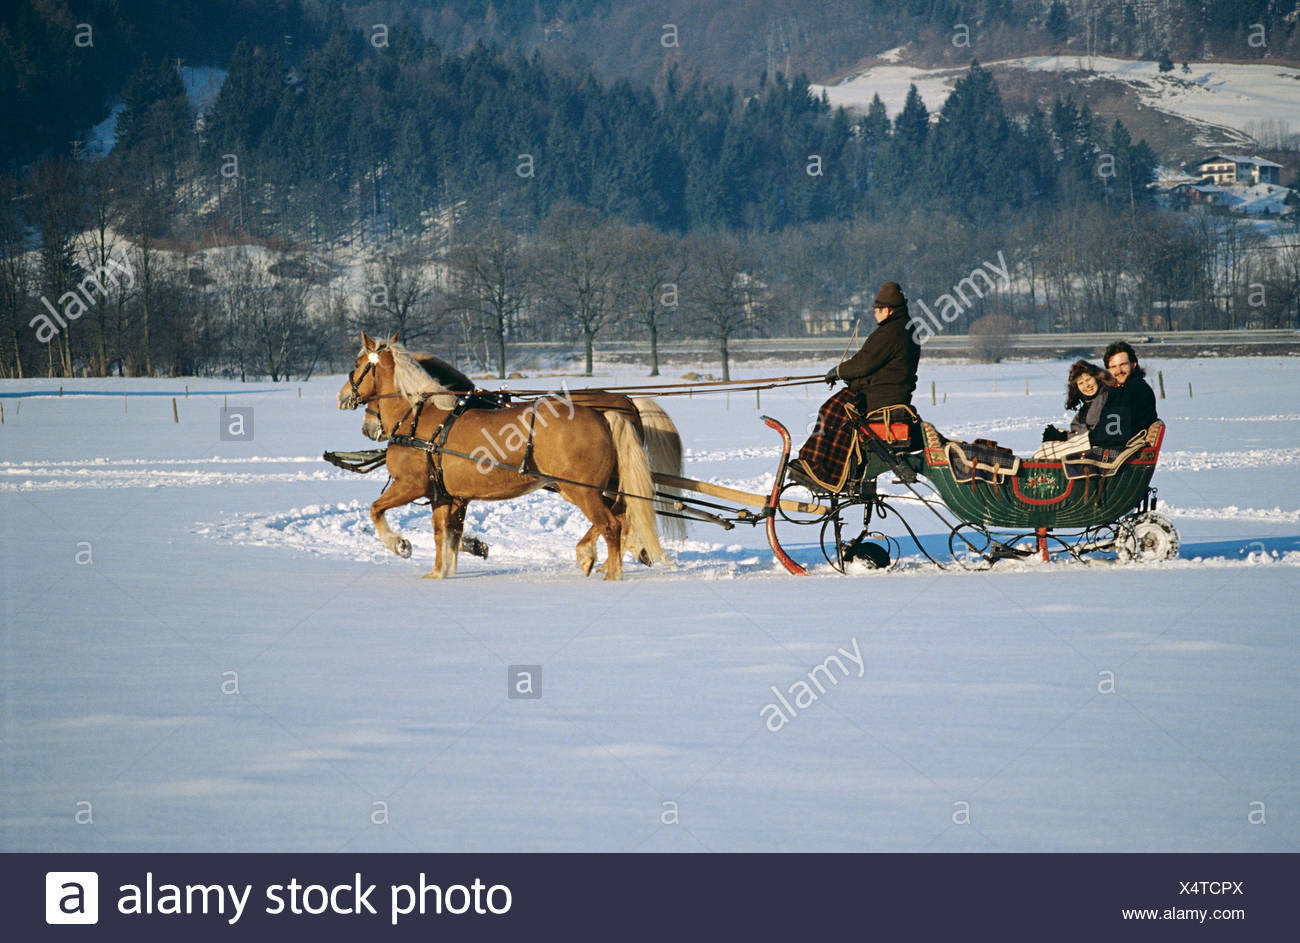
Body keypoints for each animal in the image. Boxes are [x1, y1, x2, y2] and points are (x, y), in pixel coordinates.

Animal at [337, 333, 684, 579]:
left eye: (356, 363)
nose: (343, 398)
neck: (419, 417)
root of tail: (607, 412)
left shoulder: (411, 485)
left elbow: (376, 509)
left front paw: (400, 544)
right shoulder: (445, 494)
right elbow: (444, 534)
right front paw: (440, 572)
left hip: (581, 490)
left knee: (612, 524)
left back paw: (606, 570)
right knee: (622, 516)